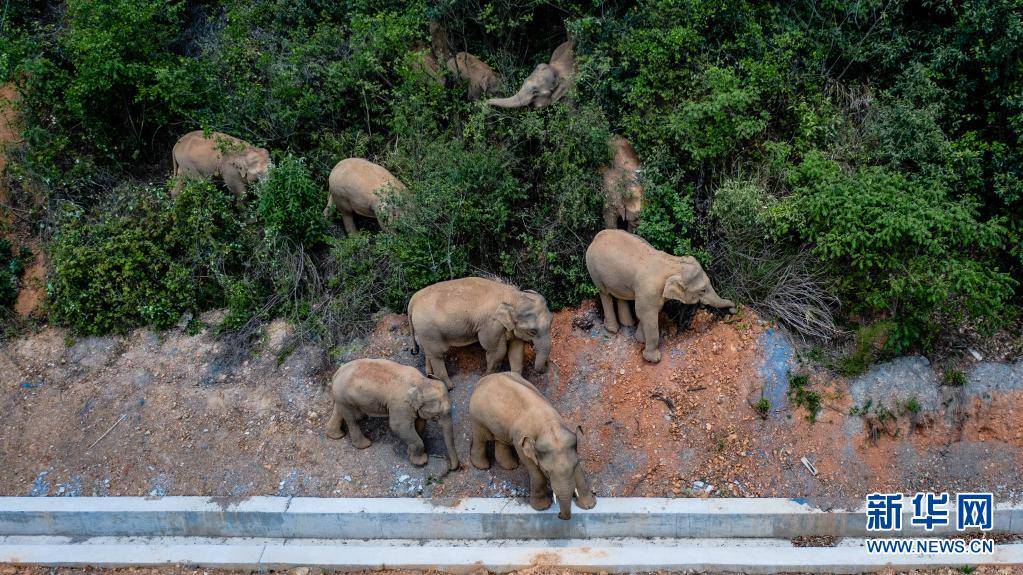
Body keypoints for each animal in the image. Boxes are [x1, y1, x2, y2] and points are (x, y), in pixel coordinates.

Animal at [327, 358, 460, 470]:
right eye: (437, 416)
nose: (451, 467)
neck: (421, 382)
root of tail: (335, 374)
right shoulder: (400, 405)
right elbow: (399, 427)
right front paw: (421, 462)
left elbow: (419, 424)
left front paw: (410, 452)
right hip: (345, 398)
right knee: (354, 420)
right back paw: (365, 444)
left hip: (342, 398)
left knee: (339, 411)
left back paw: (335, 435)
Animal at [405, 276, 552, 386]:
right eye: (533, 331)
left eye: (551, 321)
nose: (548, 364)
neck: (514, 296)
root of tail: (413, 300)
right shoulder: (491, 325)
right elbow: (497, 351)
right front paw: (484, 379)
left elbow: (516, 350)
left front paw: (516, 379)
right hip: (429, 329)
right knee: (437, 354)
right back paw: (449, 386)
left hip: (424, 331)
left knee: (429, 351)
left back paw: (430, 375)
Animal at [468, 368, 597, 517]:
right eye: (547, 471)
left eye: (575, 464)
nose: (559, 515)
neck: (548, 426)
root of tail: (482, 380)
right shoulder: (521, 442)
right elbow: (535, 471)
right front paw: (542, 507)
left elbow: (578, 471)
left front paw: (589, 505)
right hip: (477, 417)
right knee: (481, 437)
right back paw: (482, 466)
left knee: (501, 439)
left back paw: (510, 466)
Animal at [585, 226, 736, 360]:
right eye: (702, 290)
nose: (733, 310)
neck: (673, 264)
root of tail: (596, 237)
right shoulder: (649, 290)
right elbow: (646, 314)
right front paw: (654, 358)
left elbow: (650, 312)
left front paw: (640, 339)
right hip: (593, 268)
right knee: (604, 293)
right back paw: (612, 330)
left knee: (620, 295)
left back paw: (628, 324)